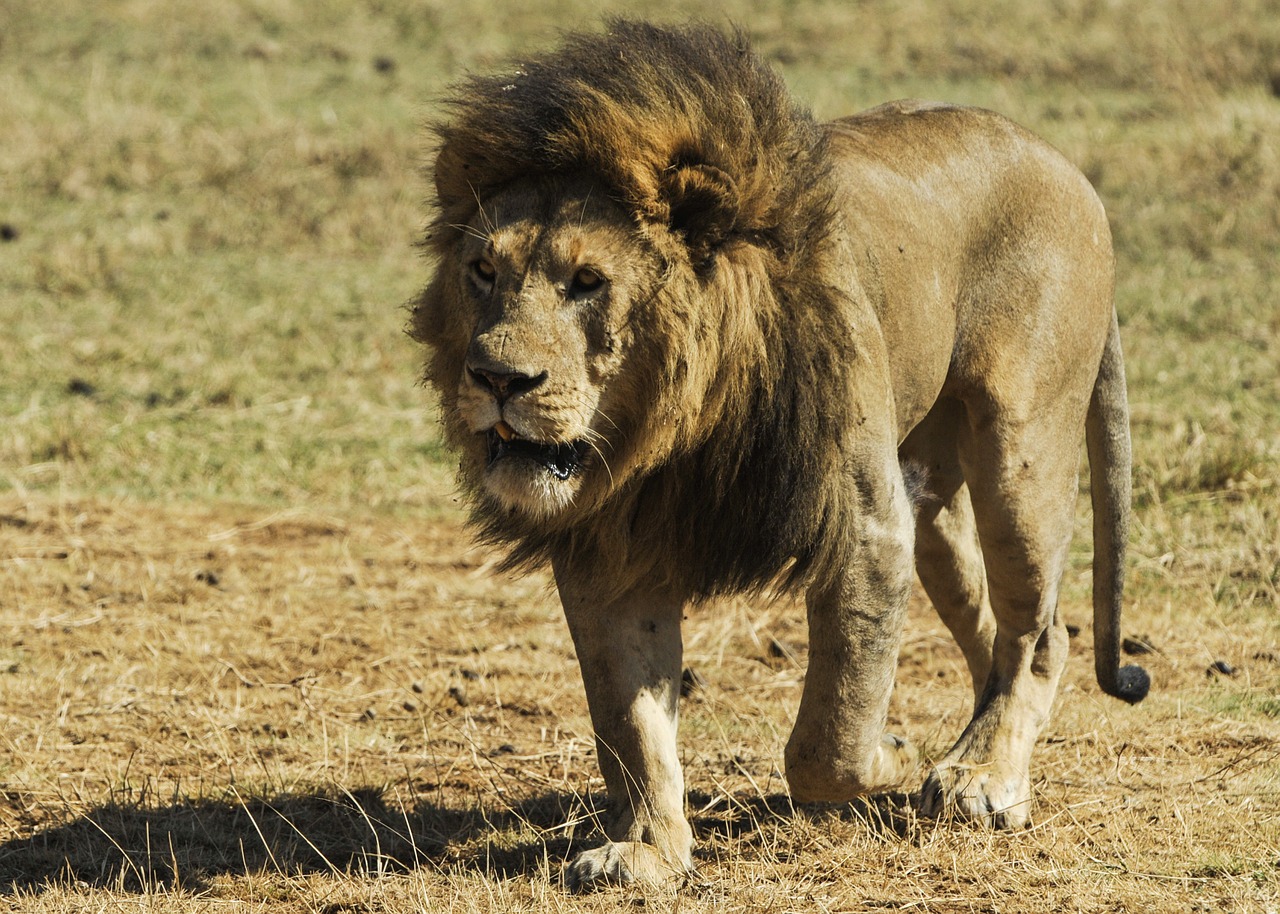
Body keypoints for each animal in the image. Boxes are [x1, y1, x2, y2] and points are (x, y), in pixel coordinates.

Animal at [412, 19, 1152, 890]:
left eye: (587, 281)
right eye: (482, 270)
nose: (496, 378)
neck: (673, 429)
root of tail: (1065, 164)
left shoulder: (864, 526)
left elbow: (828, 736)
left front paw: (891, 754)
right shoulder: (610, 546)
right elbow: (629, 719)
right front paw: (647, 850)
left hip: (1018, 449)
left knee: (1041, 631)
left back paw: (982, 779)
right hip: (930, 491)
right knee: (991, 628)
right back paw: (978, 752)